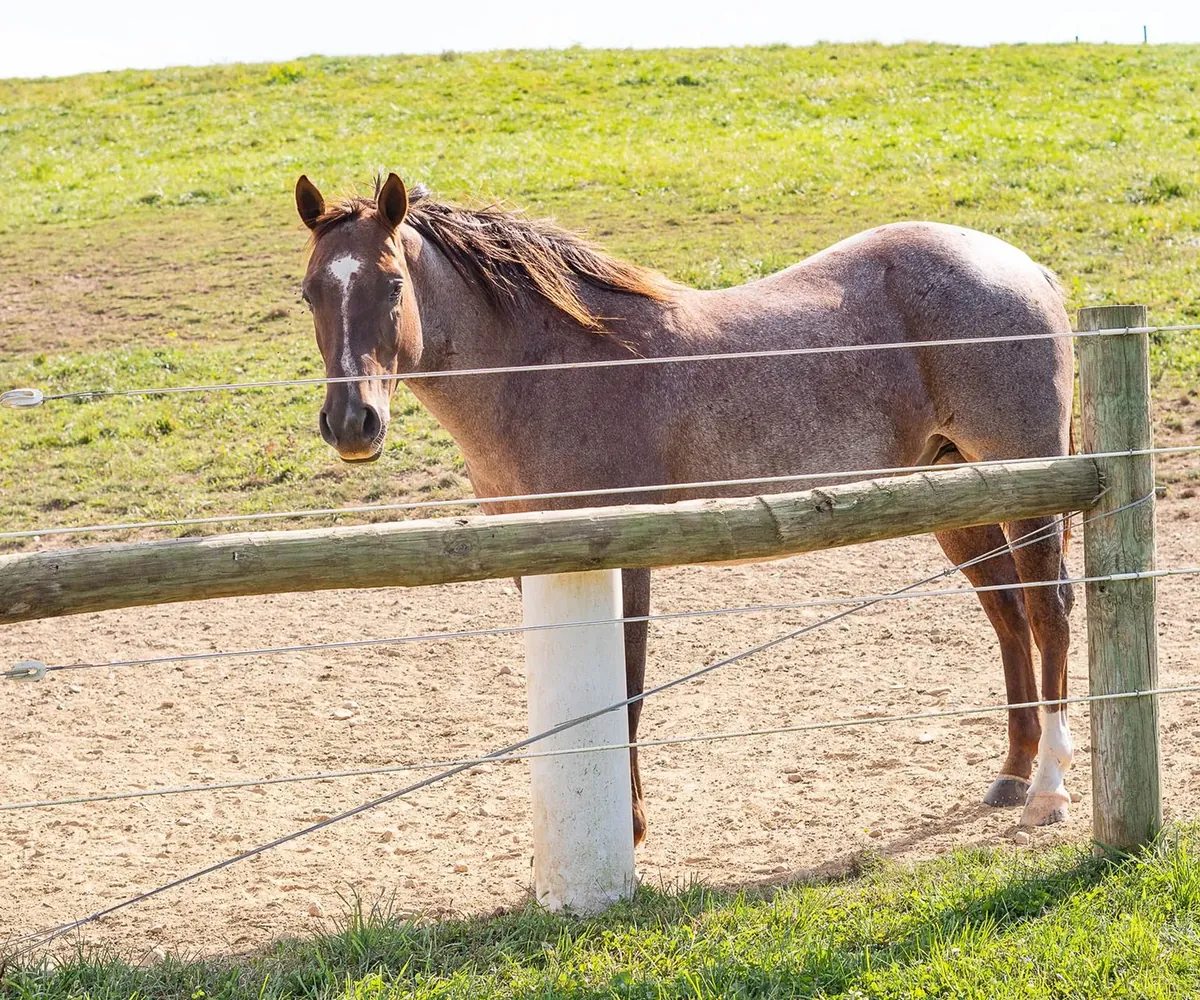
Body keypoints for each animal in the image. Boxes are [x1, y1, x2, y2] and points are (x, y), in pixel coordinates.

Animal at [294, 172, 1077, 842]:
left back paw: (1048, 791)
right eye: (309, 293)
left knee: (1048, 611)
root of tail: (1028, 270)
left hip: (1025, 491)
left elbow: (627, 689)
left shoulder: (624, 558)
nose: (352, 423)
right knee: (1009, 615)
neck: (550, 367)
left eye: (393, 284)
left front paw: (631, 828)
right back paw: (1011, 773)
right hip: (959, 496)